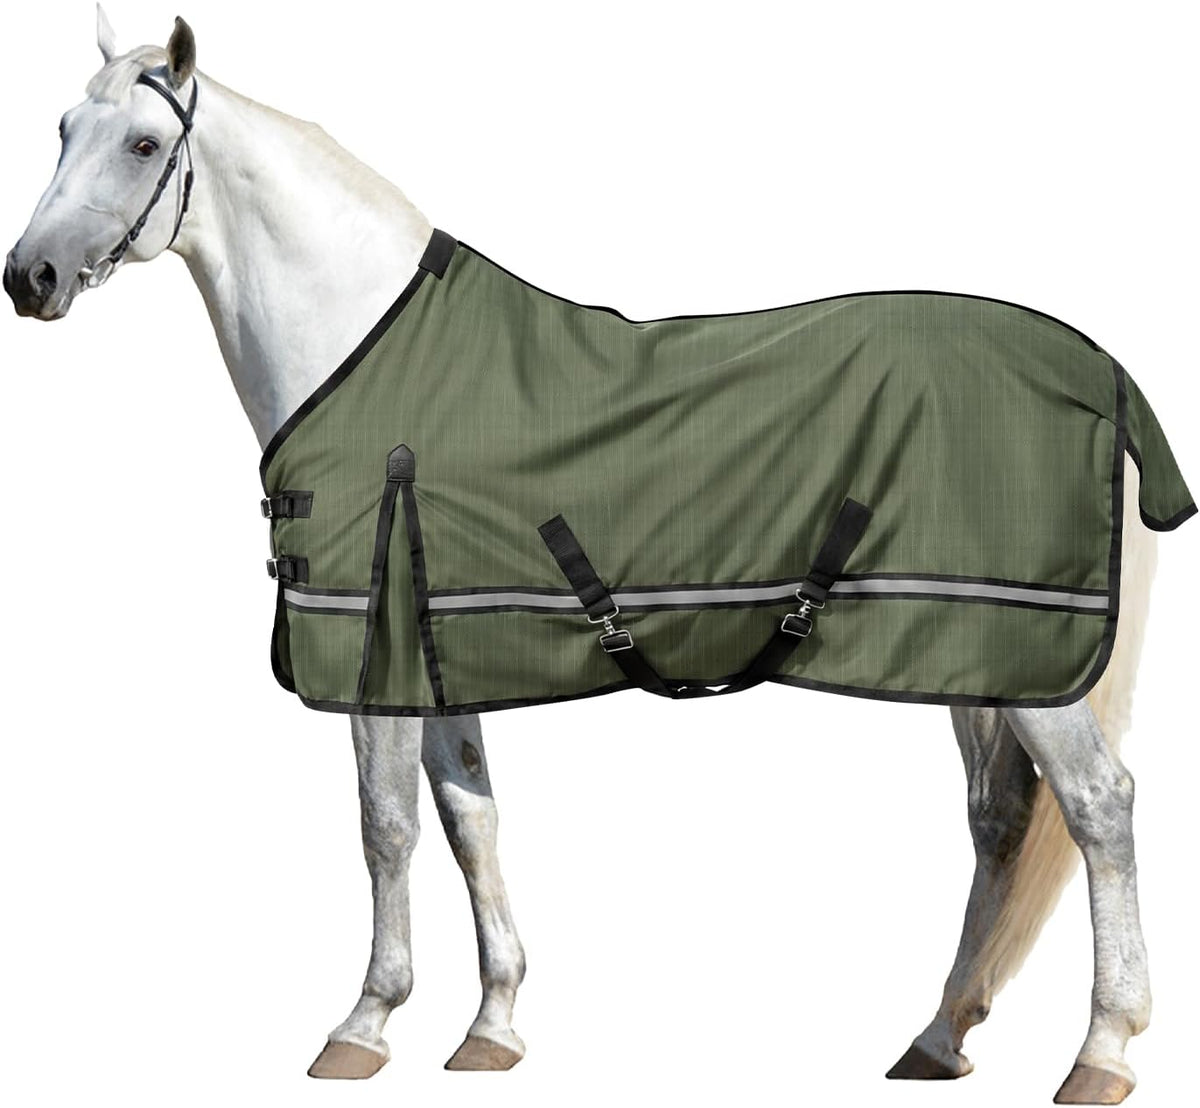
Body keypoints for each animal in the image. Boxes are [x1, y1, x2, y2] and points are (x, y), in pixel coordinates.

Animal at [3, 10, 1189, 1103]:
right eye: (61, 128)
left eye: (144, 144)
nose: (31, 277)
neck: (362, 344)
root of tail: (1100, 373)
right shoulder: (438, 647)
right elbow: (470, 819)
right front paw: (492, 1025)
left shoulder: (371, 650)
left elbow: (386, 828)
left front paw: (364, 1024)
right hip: (975, 651)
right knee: (1001, 821)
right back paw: (937, 1039)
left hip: (1027, 665)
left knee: (1100, 806)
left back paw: (1101, 1050)